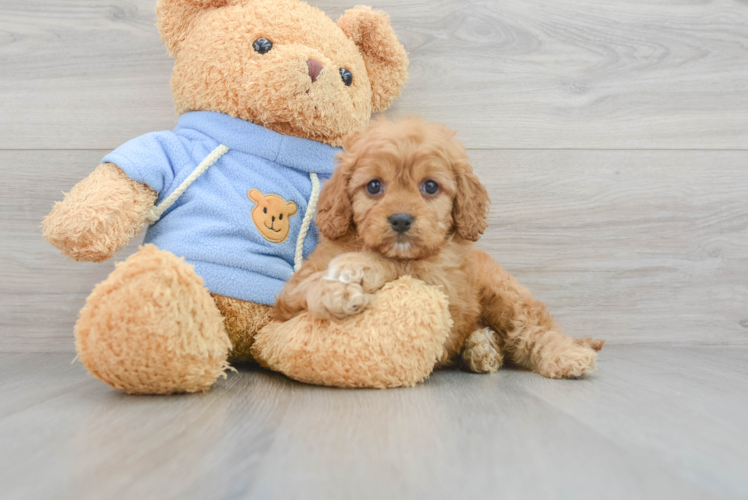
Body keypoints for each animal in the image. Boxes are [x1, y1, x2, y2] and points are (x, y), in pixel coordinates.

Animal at [274, 117, 600, 376]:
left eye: (430, 186)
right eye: (374, 186)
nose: (401, 220)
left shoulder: (446, 290)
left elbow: (402, 264)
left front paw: (359, 265)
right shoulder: (289, 300)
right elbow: (305, 290)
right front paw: (335, 292)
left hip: (504, 293)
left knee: (533, 329)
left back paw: (565, 355)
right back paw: (482, 348)